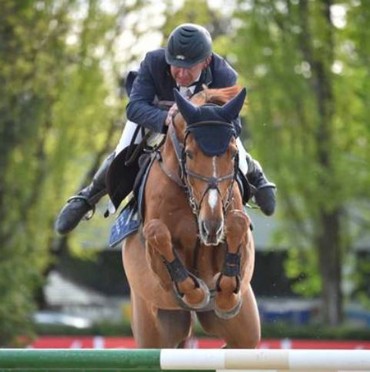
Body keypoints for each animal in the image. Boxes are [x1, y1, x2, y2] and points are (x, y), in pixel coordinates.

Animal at [121, 85, 260, 348]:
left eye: (233, 153)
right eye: (189, 153)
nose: (211, 226)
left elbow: (238, 222)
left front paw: (224, 296)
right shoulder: (155, 250)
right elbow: (157, 233)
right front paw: (198, 292)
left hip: (244, 332)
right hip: (153, 329)